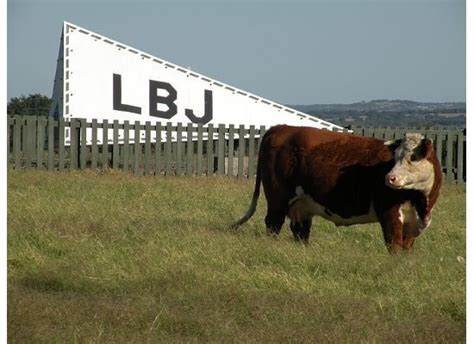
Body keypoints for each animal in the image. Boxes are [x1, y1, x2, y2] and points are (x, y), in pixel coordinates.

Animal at [231, 125, 442, 254]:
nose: (389, 178)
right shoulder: (389, 215)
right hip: (278, 200)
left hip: (302, 205)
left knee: (300, 230)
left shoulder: (411, 224)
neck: (420, 204)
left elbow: (406, 250)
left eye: (412, 158)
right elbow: (395, 247)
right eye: (395, 157)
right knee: (273, 224)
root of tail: (280, 128)